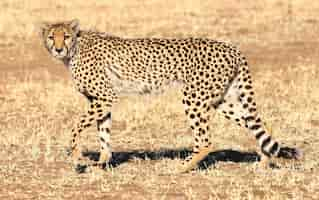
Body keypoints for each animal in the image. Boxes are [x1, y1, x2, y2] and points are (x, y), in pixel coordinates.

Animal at [40, 19, 302, 173]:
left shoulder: (105, 97)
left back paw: (181, 167)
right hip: (221, 99)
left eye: (66, 36)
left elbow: (75, 127)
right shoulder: (101, 100)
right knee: (257, 124)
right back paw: (265, 161)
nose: (58, 48)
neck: (75, 49)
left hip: (194, 97)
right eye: (52, 37)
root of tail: (232, 47)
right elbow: (103, 132)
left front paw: (77, 156)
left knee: (205, 140)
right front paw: (101, 162)